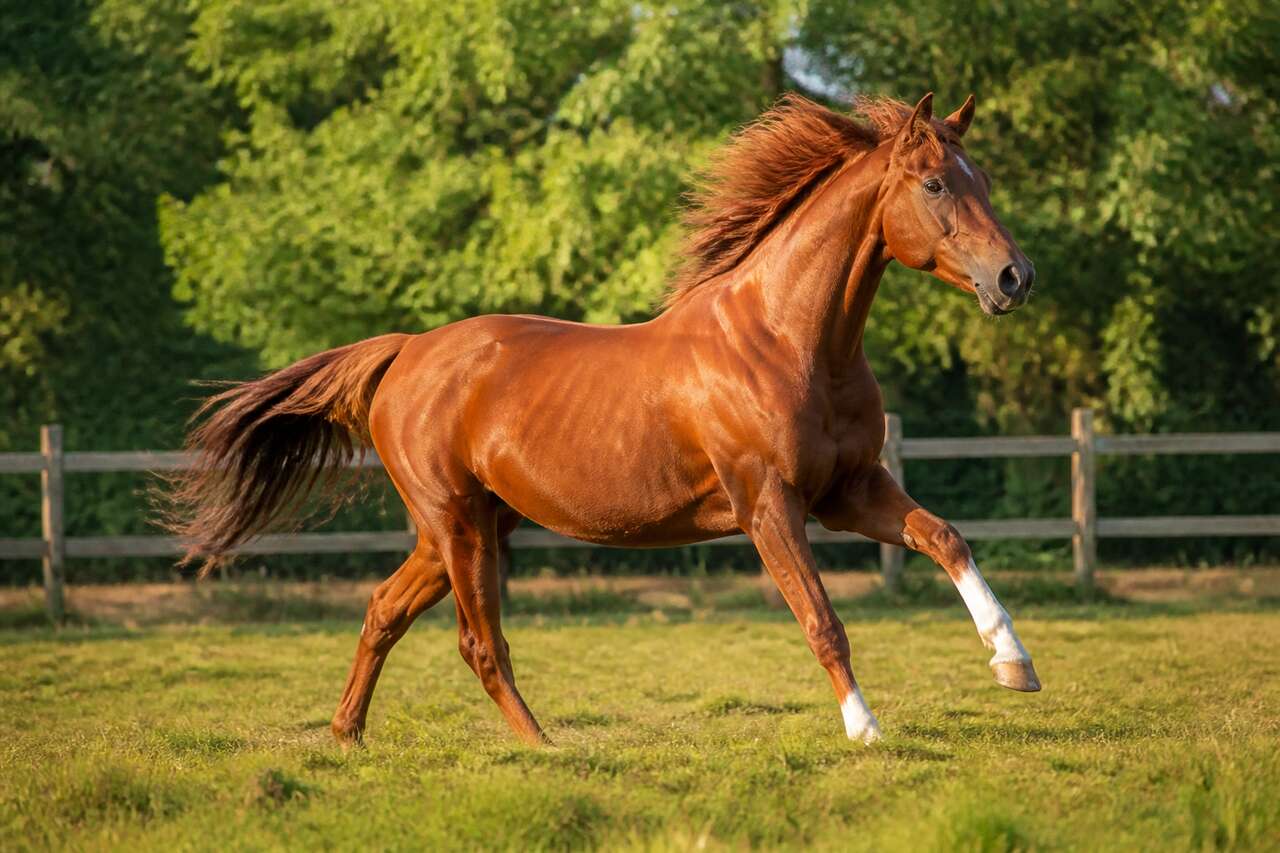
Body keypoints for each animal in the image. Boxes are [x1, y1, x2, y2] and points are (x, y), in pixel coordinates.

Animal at [166, 92, 1040, 747]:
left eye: (987, 180)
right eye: (935, 184)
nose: (1014, 277)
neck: (790, 340)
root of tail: (406, 351)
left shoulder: (848, 489)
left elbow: (945, 537)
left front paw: (1014, 664)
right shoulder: (769, 504)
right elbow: (822, 619)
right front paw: (866, 729)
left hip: (472, 525)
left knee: (384, 609)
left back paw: (347, 736)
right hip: (456, 523)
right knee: (479, 642)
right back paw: (543, 749)